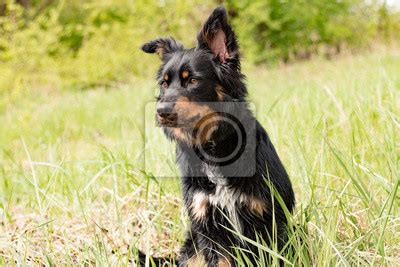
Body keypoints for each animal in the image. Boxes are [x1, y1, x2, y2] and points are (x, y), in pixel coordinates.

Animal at [140, 6, 294, 267]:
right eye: (164, 83)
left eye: (192, 80)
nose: (161, 111)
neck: (213, 149)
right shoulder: (208, 226)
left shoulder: (269, 220)